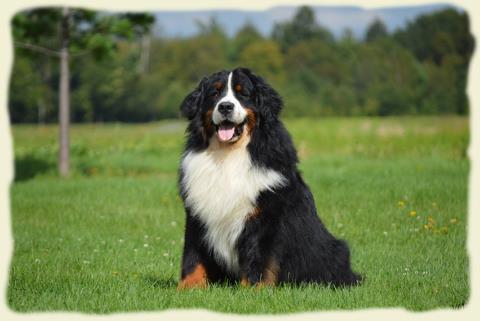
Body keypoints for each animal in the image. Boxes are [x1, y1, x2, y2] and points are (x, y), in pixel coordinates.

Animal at [176, 67, 360, 288]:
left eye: (243, 93)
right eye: (215, 93)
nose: (226, 106)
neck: (229, 155)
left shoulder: (264, 216)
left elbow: (258, 258)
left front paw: (252, 289)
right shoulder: (198, 213)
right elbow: (193, 257)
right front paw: (187, 288)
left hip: (333, 250)